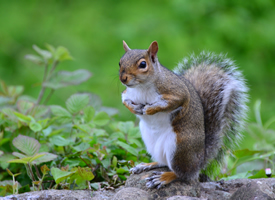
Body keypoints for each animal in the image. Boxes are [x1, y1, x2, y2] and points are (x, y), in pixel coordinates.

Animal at [119, 41, 249, 189]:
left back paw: (164, 177)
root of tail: (200, 161)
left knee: (183, 174)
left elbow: (172, 103)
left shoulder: (177, 92)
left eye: (142, 64)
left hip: (179, 146)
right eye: (120, 62)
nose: (123, 78)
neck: (141, 87)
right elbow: (124, 100)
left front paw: (150, 110)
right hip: (151, 142)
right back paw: (147, 165)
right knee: (163, 162)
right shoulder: (127, 94)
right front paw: (134, 108)